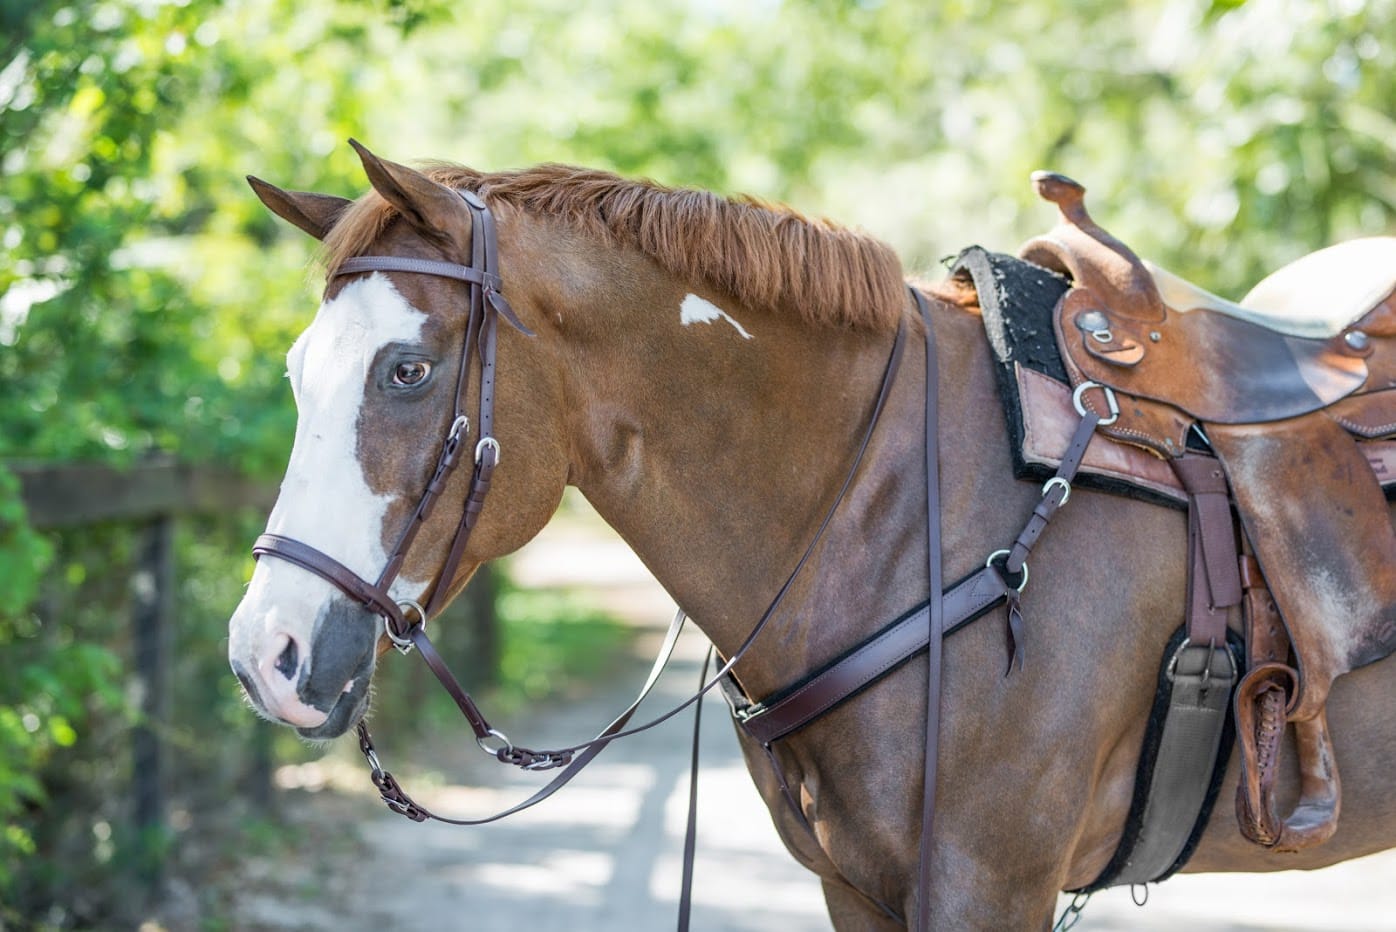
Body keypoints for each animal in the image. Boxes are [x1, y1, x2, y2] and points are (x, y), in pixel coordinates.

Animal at [226, 142, 1396, 929]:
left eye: (407, 370)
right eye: (295, 371)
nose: (263, 654)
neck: (899, 506)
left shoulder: (986, 883)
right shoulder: (857, 885)